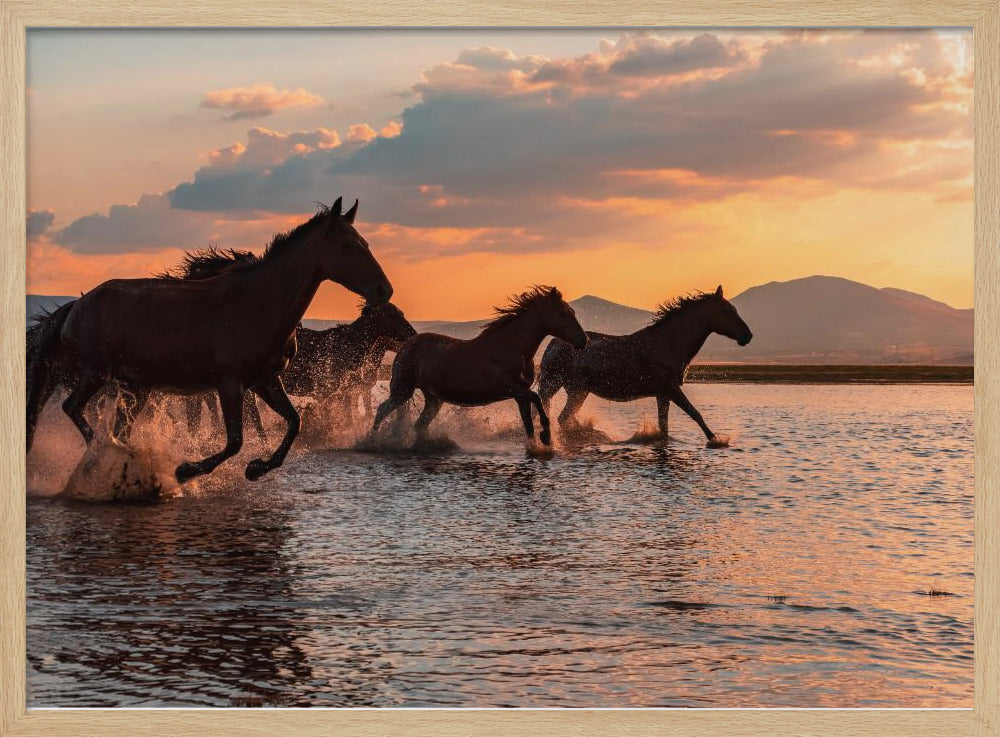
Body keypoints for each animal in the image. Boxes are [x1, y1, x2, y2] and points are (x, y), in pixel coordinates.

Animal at [27, 197, 392, 482]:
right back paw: (109, 456)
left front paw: (257, 468)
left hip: (135, 387)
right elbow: (234, 441)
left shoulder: (265, 380)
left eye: (366, 243)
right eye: (347, 245)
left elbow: (293, 422)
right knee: (72, 407)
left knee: (117, 427)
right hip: (96, 374)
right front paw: (186, 470)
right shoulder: (229, 383)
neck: (258, 303)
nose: (384, 290)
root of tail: (76, 305)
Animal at [371, 286, 587, 447]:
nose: (584, 340)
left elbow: (528, 424)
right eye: (563, 313)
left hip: (433, 399)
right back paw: (372, 441)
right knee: (382, 410)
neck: (511, 347)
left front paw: (537, 444)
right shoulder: (512, 389)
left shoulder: (520, 396)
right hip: (402, 390)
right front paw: (547, 436)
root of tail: (405, 345)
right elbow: (537, 399)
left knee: (419, 425)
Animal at [537, 286, 752, 446]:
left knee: (564, 418)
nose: (747, 336)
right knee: (562, 418)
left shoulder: (663, 394)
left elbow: (664, 428)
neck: (668, 344)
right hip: (567, 388)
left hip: (574, 390)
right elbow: (695, 414)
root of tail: (554, 343)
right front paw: (716, 440)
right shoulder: (671, 389)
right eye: (727, 311)